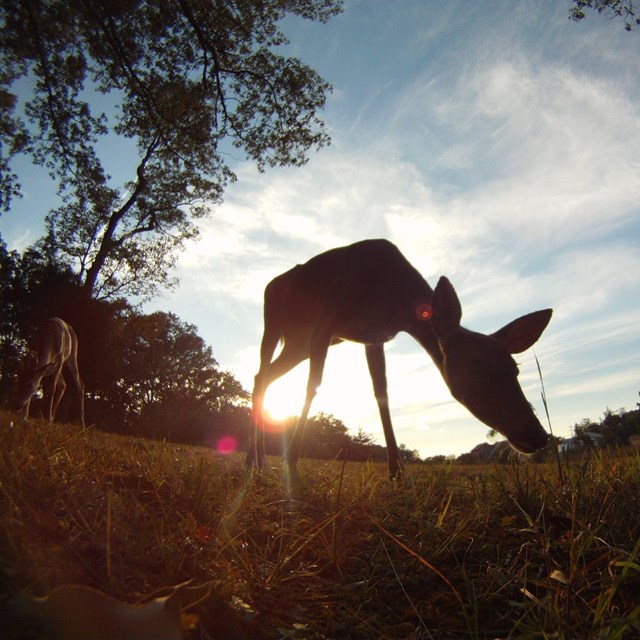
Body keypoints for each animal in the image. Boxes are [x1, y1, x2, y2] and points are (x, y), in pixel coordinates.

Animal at [246, 239, 552, 479]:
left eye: (514, 369)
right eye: (476, 367)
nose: (538, 435)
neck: (391, 298)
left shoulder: (374, 336)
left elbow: (382, 393)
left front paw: (397, 470)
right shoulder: (326, 319)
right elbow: (314, 384)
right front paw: (291, 459)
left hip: (298, 344)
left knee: (265, 375)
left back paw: (256, 459)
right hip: (274, 325)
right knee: (261, 371)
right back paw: (255, 460)